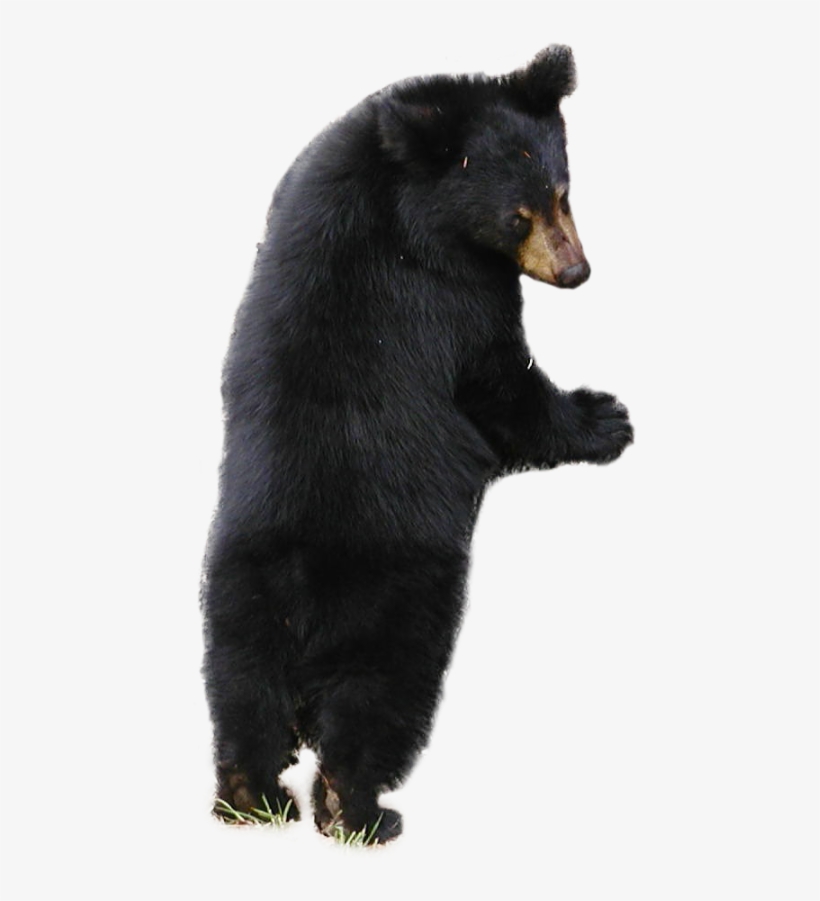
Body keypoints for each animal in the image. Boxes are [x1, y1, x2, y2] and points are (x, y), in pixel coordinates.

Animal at [201, 45, 633, 844]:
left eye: (564, 191)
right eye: (517, 215)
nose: (576, 272)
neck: (399, 180)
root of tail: (305, 605)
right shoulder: (449, 290)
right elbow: (502, 385)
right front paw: (607, 416)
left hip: (237, 602)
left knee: (243, 699)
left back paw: (251, 797)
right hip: (400, 603)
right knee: (377, 705)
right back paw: (362, 812)